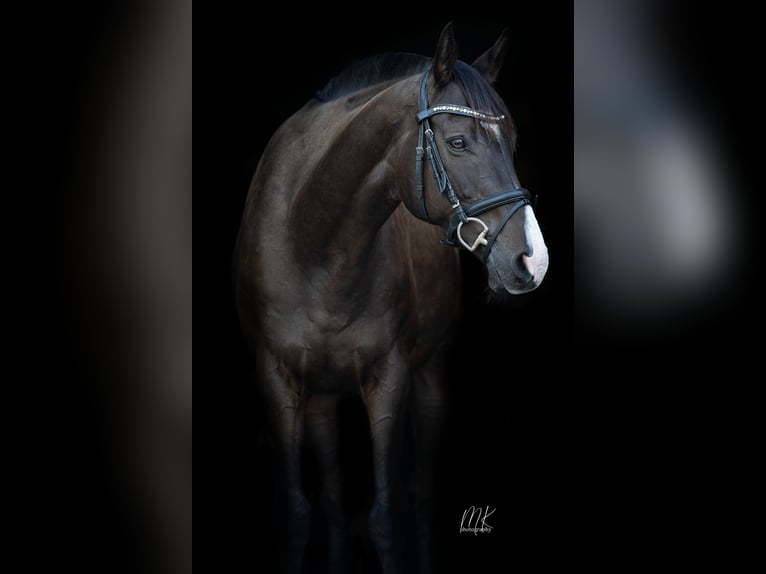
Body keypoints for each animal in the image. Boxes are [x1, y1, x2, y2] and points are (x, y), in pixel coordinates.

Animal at [233, 23, 548, 574]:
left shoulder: (390, 377)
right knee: (334, 496)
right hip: (322, 396)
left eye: (512, 141)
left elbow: (386, 514)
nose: (533, 259)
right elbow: (297, 516)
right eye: (458, 141)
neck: (312, 245)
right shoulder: (275, 377)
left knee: (417, 494)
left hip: (427, 377)